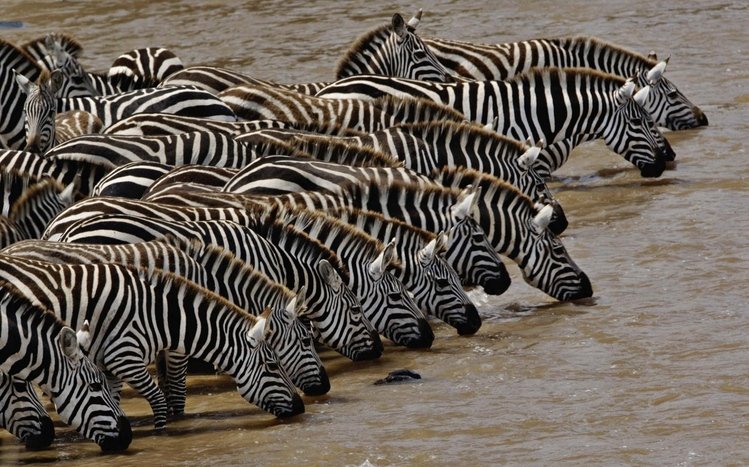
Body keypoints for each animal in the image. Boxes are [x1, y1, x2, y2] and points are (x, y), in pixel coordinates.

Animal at [0, 255, 305, 430]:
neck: (159, 316)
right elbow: (158, 400)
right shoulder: (124, 357)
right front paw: (161, 434)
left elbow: (113, 401)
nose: (301, 407)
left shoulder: (109, 366)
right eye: (272, 366)